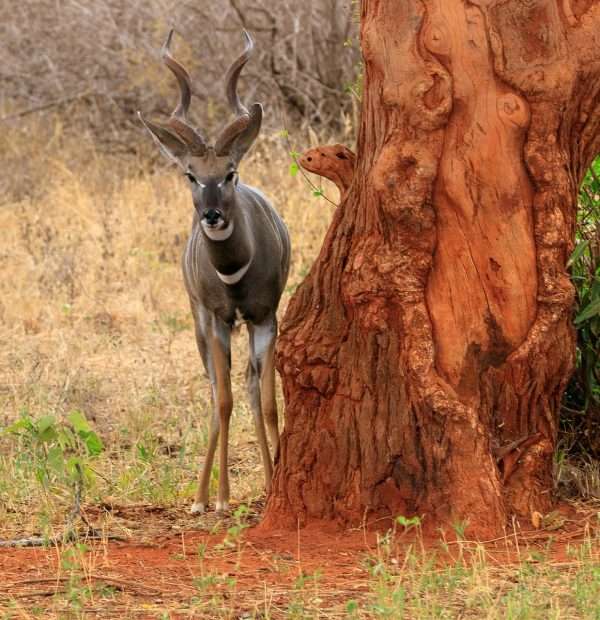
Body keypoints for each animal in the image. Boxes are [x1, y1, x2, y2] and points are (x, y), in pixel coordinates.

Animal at [139, 30, 292, 512]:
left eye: (231, 172)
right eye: (190, 173)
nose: (211, 215)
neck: (234, 275)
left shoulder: (264, 316)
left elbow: (266, 401)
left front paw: (272, 481)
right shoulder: (219, 318)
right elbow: (223, 400)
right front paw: (221, 498)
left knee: (247, 385)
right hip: (198, 320)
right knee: (213, 391)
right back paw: (202, 496)